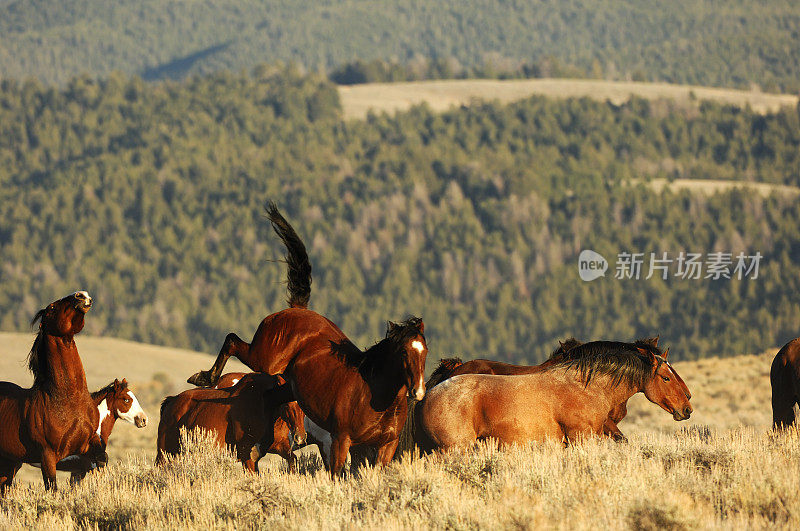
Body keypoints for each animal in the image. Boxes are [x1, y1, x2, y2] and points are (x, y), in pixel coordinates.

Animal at [0, 290, 106, 494]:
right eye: (52, 308)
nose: (82, 295)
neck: (68, 399)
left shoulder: (88, 442)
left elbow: (102, 457)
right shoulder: (47, 456)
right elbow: (52, 487)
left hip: (10, 463)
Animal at [156, 374, 306, 474]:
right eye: (287, 405)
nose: (300, 437)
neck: (264, 402)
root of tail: (172, 401)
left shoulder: (279, 447)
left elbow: (293, 461)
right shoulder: (247, 455)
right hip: (165, 453)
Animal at [188, 205, 428, 478]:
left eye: (425, 352)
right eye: (403, 353)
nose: (418, 391)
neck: (375, 395)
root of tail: (296, 309)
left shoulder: (386, 446)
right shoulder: (341, 440)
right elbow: (336, 474)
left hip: (288, 385)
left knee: (270, 398)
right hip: (264, 359)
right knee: (232, 341)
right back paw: (204, 378)